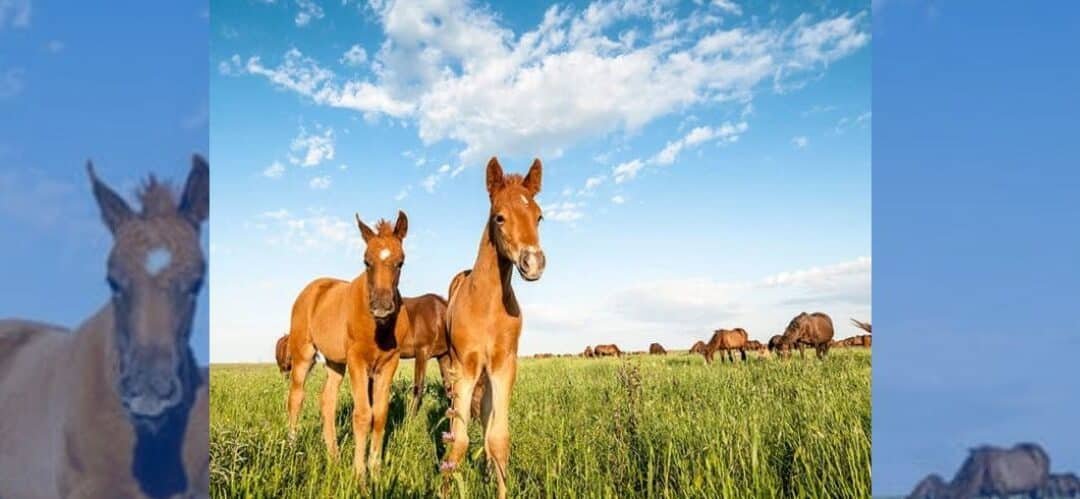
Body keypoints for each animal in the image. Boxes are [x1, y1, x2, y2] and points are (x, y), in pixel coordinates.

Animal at [284, 211, 411, 480]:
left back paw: (333, 455)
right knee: (296, 397)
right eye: (366, 261)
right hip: (303, 354)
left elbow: (379, 415)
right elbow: (362, 415)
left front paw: (376, 472)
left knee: (327, 401)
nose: (381, 306)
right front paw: (360, 475)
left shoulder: (388, 364)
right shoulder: (357, 361)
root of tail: (311, 289)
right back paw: (291, 445)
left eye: (400, 262)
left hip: (335, 362)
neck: (379, 328)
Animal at [441, 157, 546, 499]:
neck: (486, 305)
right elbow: (458, 442)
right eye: (499, 217)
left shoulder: (503, 365)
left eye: (539, 216)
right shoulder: (465, 367)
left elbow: (498, 439)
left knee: (487, 418)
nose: (533, 263)